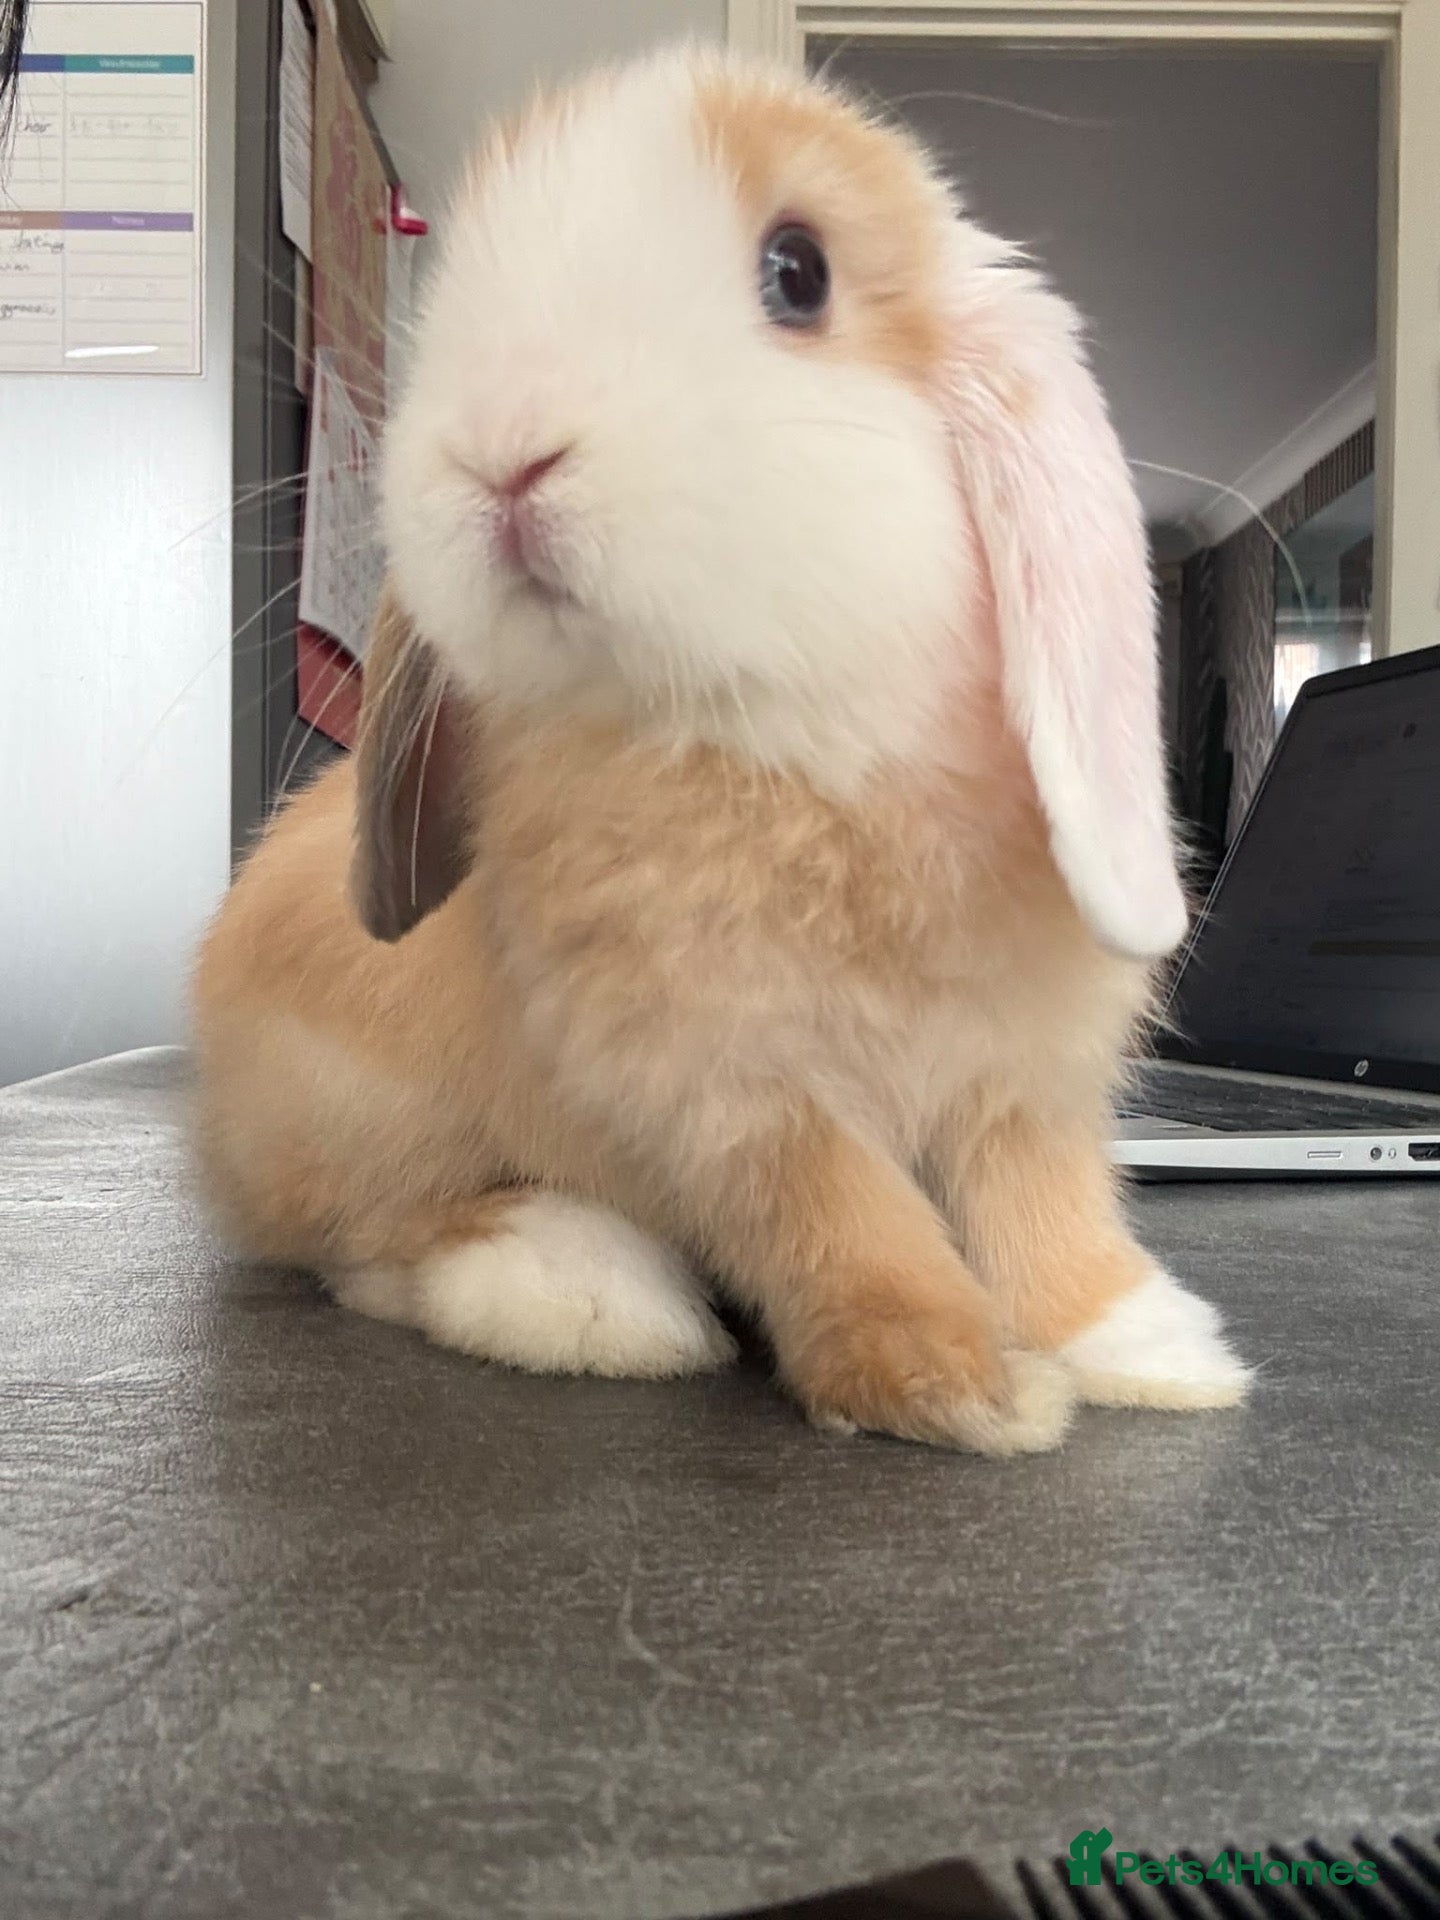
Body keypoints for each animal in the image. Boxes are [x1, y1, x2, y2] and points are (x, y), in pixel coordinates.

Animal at [192, 44, 1251, 1452]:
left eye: (797, 272)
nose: (503, 451)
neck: (799, 740)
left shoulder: (1027, 1087)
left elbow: (1046, 1210)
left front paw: (1151, 1348)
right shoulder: (735, 1096)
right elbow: (851, 1226)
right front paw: (969, 1387)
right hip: (363, 1117)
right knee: (375, 1245)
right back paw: (581, 1294)